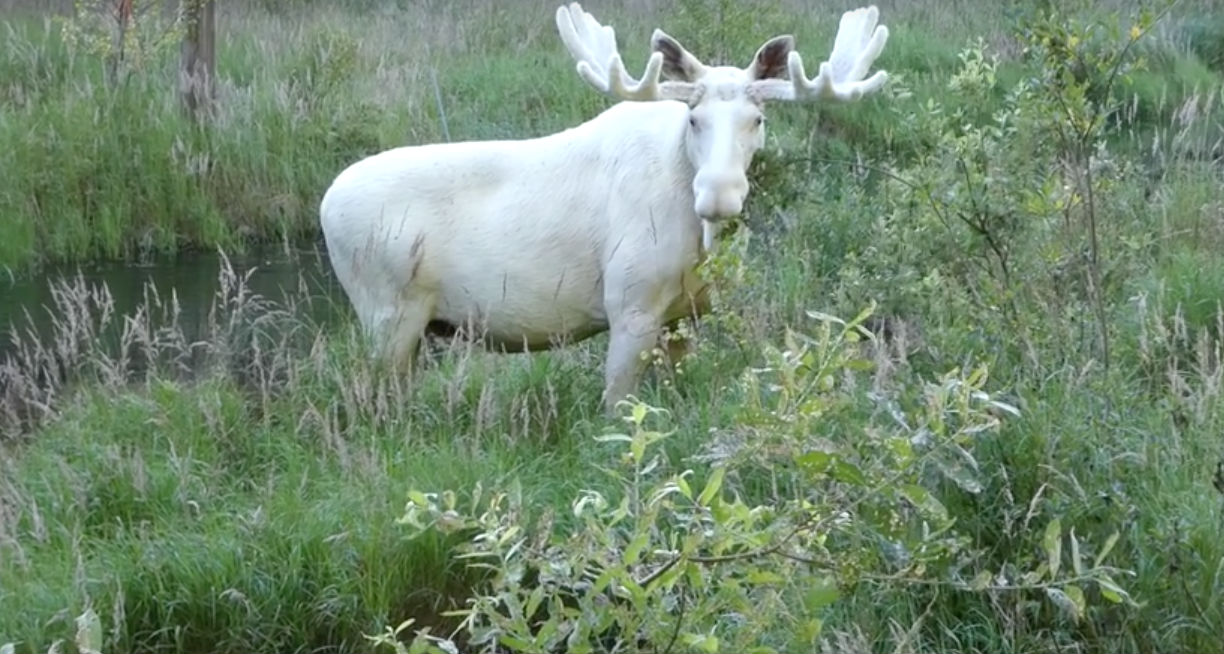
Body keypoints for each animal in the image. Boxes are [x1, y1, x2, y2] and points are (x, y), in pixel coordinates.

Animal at [318, 2, 891, 416]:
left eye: (758, 119)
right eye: (694, 119)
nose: (719, 194)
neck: (698, 242)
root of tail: (324, 205)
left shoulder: (686, 316)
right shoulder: (629, 303)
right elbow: (617, 408)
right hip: (386, 312)